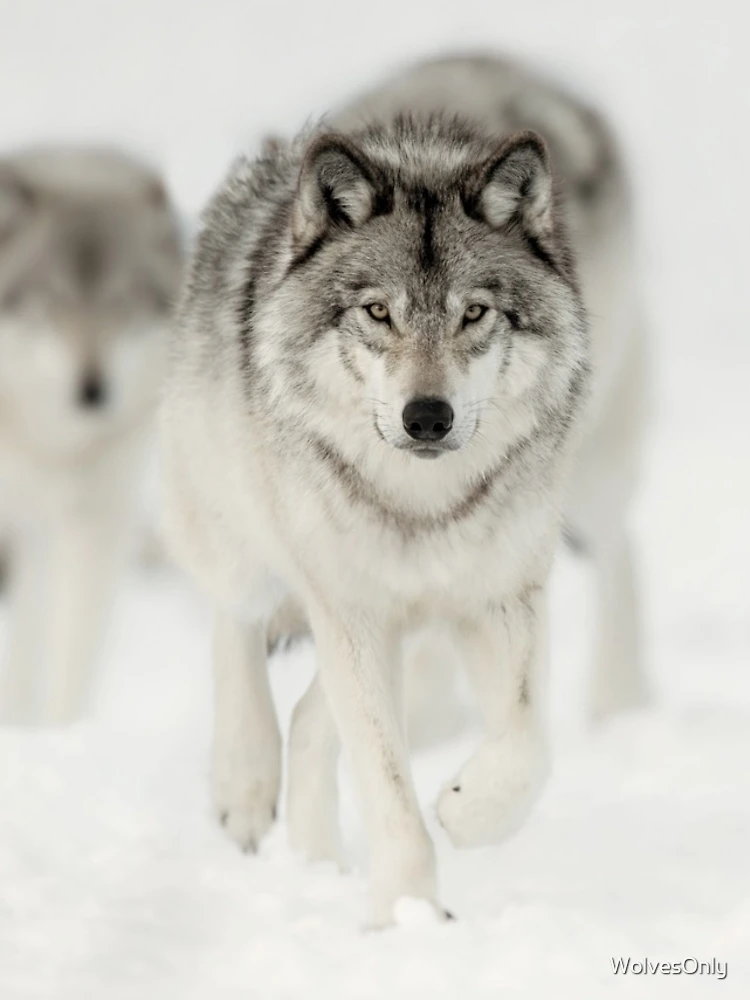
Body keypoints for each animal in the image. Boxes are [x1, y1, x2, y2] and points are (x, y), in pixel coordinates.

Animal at [0, 147, 182, 724]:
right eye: (54, 300)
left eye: (123, 303)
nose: (92, 391)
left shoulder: (95, 526)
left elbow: (73, 656)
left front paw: (62, 731)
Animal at [161, 54, 597, 922]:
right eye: (377, 312)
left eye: (474, 313)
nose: (426, 416)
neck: (423, 506)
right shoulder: (351, 611)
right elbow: (389, 791)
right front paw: (406, 916)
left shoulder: (501, 596)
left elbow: (528, 745)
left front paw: (467, 811)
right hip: (245, 534)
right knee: (236, 623)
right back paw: (244, 784)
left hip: (402, 629)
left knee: (309, 721)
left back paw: (316, 864)